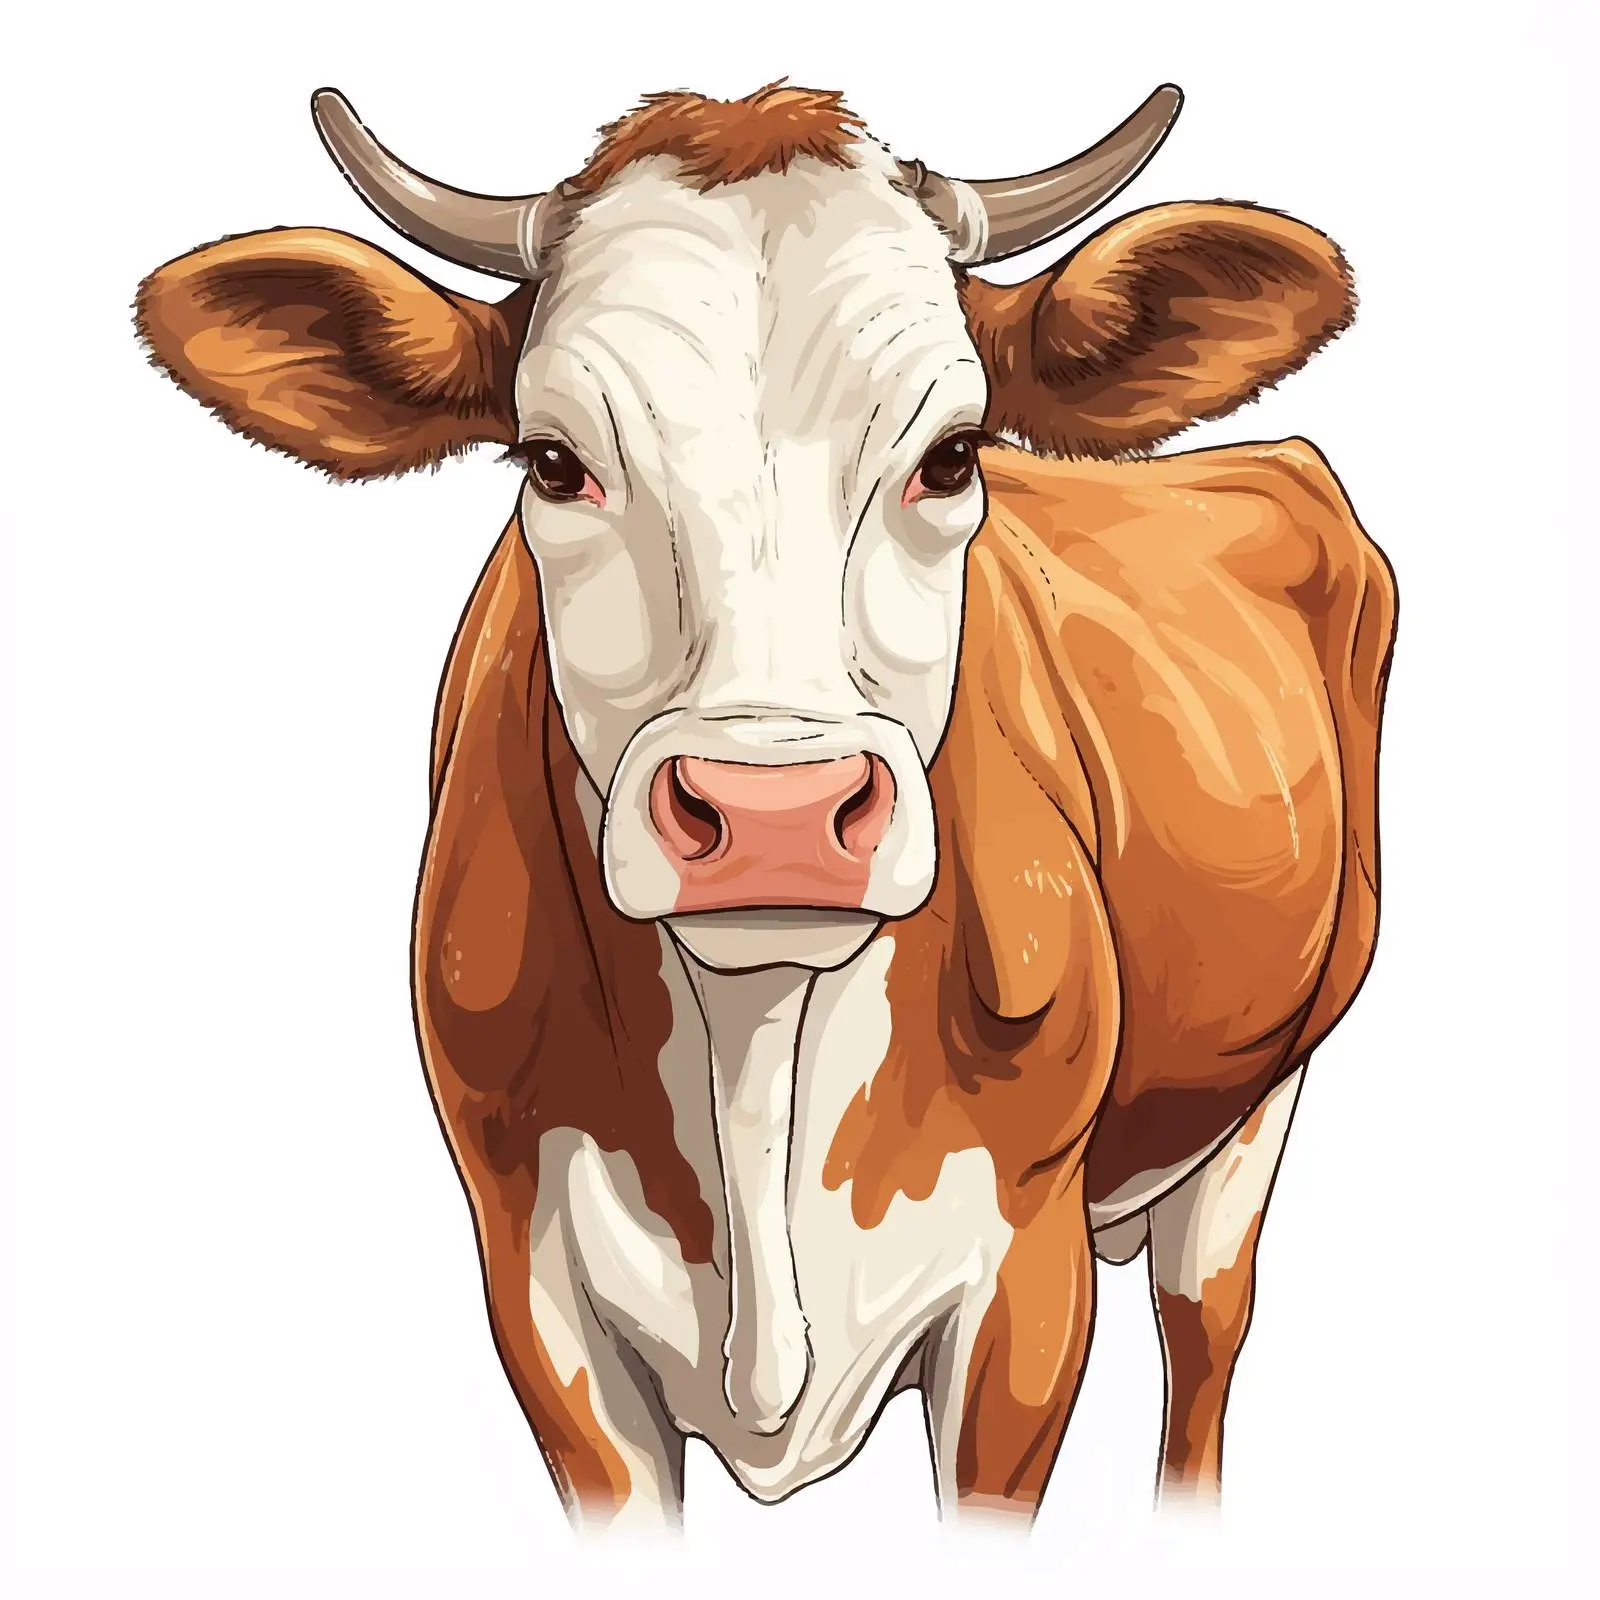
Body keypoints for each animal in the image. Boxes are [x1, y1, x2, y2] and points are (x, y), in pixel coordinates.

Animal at [135, 81, 1396, 1531]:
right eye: (552, 463)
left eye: (950, 456)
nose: (775, 813)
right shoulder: (539, 1299)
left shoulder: (1024, 1291)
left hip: (1258, 1109)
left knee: (1207, 1342)